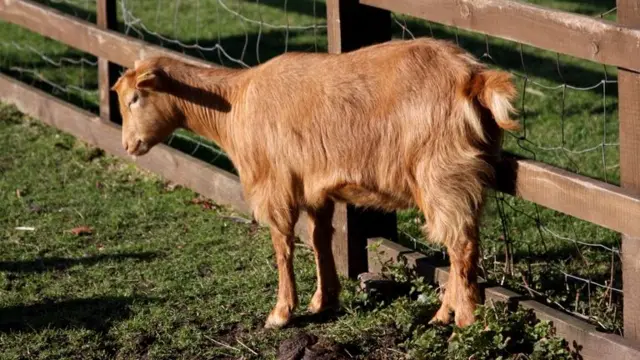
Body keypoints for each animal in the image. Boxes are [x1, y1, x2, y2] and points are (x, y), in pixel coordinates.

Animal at [111, 38, 520, 330]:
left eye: (135, 98)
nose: (129, 145)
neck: (234, 102)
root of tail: (473, 77)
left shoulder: (275, 186)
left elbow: (282, 246)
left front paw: (280, 314)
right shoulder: (312, 186)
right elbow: (320, 239)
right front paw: (323, 301)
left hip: (442, 174)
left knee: (461, 245)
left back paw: (462, 322)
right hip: (458, 179)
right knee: (460, 244)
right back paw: (443, 315)